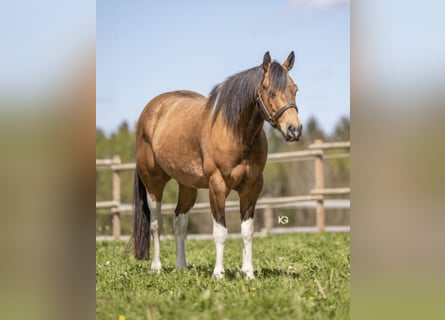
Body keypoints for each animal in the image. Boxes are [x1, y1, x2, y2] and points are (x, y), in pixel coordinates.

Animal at [130, 51, 300, 278]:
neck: (235, 132)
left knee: (179, 223)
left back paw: (181, 266)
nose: (294, 130)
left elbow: (247, 231)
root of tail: (152, 110)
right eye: (271, 92)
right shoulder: (217, 186)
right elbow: (220, 232)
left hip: (187, 186)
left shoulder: (252, 187)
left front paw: (248, 273)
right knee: (156, 224)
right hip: (154, 183)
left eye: (295, 89)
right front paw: (218, 274)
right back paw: (156, 267)